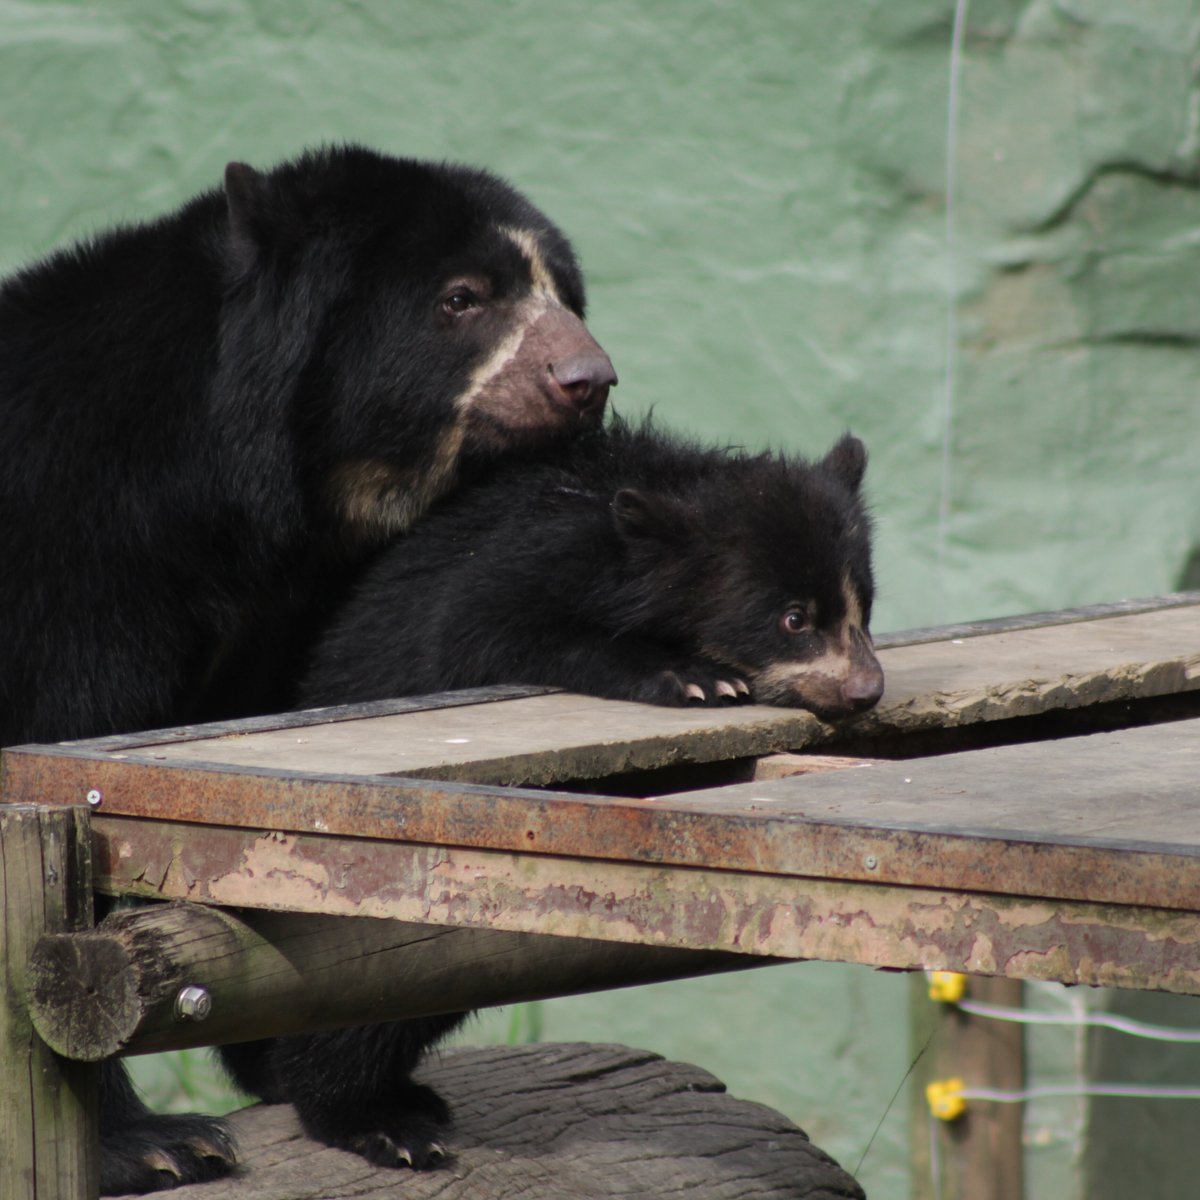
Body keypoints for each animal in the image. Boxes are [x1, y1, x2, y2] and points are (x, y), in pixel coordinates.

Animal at [0, 145, 614, 1195]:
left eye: (564, 293)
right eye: (462, 297)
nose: (588, 378)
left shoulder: (275, 618)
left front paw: (367, 1101)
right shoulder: (72, 568)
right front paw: (156, 1141)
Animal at [296, 417, 888, 715]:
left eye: (865, 607)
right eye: (794, 619)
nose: (866, 690)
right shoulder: (520, 563)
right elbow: (479, 636)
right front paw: (698, 678)